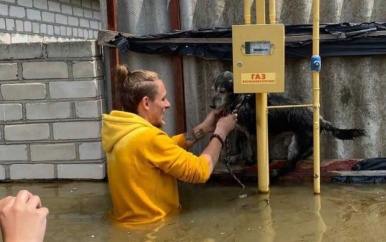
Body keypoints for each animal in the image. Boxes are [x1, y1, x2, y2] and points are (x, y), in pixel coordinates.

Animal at [210, 71, 366, 179]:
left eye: (222, 91)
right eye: (213, 89)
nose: (211, 106)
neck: (241, 101)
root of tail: (321, 120)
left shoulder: (254, 134)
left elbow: (255, 152)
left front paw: (252, 161)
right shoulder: (240, 129)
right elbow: (238, 143)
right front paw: (234, 157)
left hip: (295, 145)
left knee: (291, 165)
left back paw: (277, 172)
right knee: (308, 151)